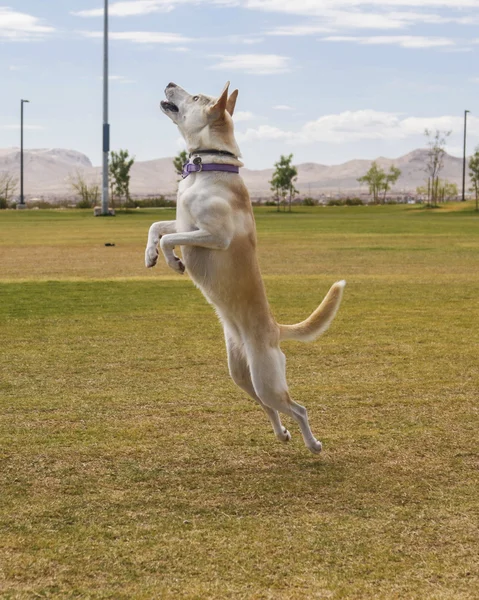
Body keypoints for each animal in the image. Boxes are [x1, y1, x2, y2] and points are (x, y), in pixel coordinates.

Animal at [144, 81, 346, 454]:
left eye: (195, 97)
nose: (169, 83)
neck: (209, 169)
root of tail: (275, 329)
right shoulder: (184, 222)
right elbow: (157, 227)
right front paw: (150, 255)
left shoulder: (214, 236)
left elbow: (170, 239)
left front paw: (174, 261)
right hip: (241, 376)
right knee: (269, 407)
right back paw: (282, 434)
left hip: (266, 379)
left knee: (297, 407)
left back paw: (312, 443)